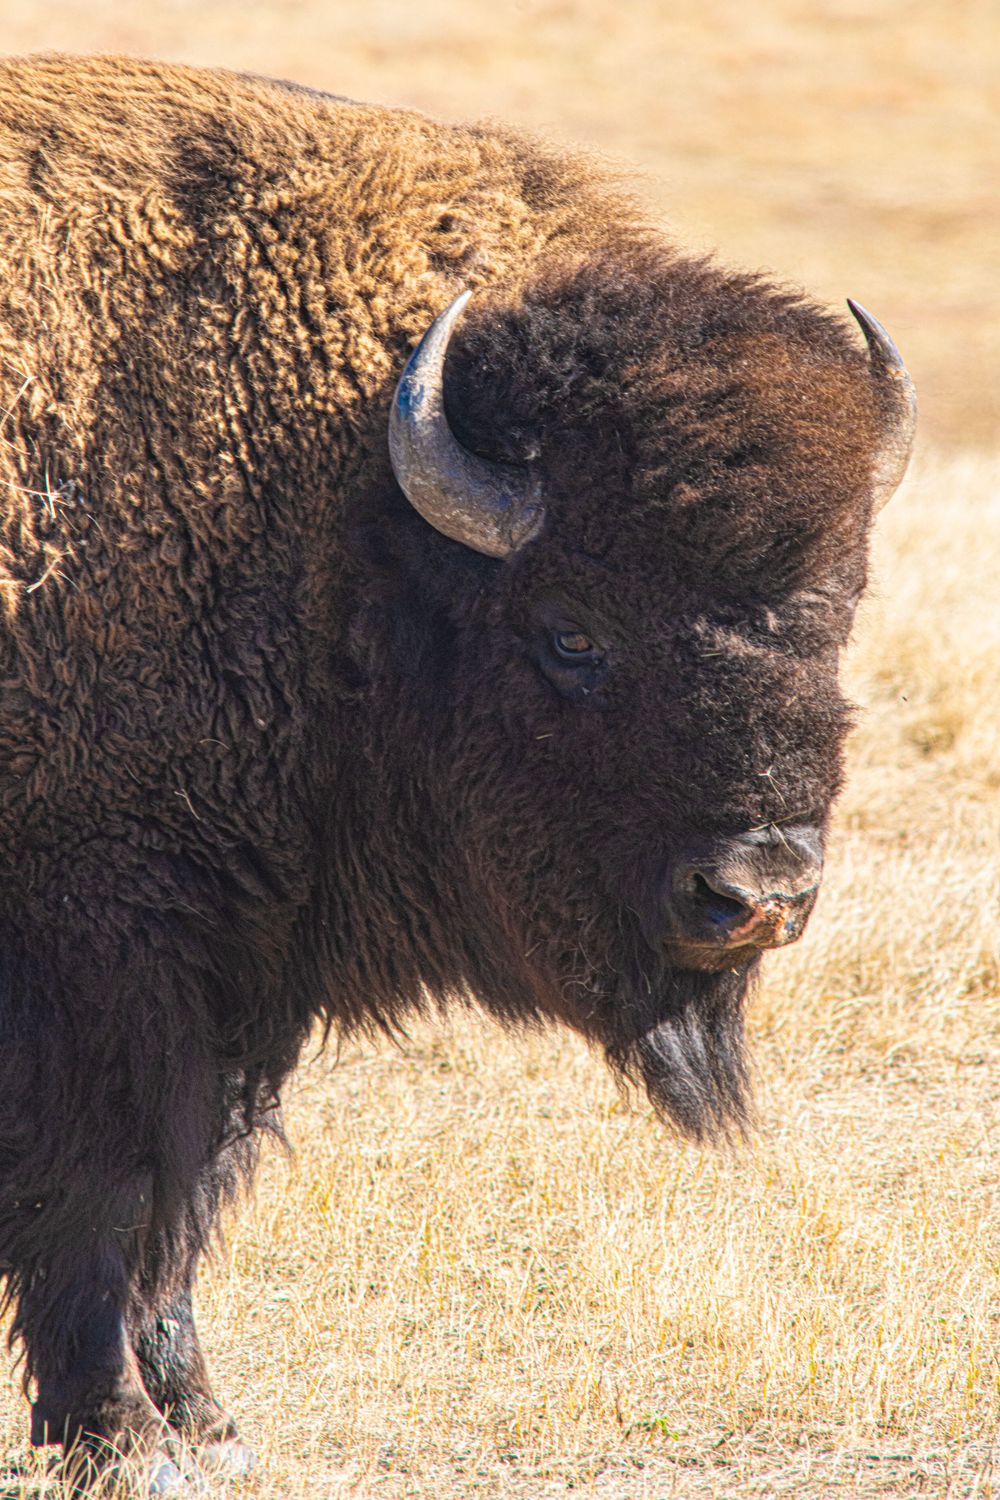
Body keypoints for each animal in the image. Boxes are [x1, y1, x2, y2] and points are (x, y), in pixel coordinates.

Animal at [0, 53, 915, 1492]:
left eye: (838, 610)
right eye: (572, 632)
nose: (756, 894)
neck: (334, 518)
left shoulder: (241, 974)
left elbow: (190, 1191)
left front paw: (207, 1418)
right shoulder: (103, 952)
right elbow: (109, 1189)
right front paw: (126, 1438)